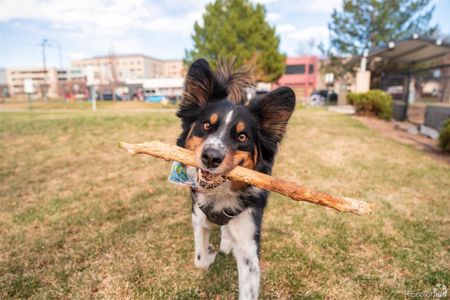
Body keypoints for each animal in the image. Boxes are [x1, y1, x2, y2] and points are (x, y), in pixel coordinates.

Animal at [175, 57, 296, 298]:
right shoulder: (197, 215)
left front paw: (218, 248)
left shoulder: (249, 241)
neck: (220, 193)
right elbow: (199, 259)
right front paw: (210, 253)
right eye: (206, 126)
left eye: (242, 136)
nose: (211, 157)